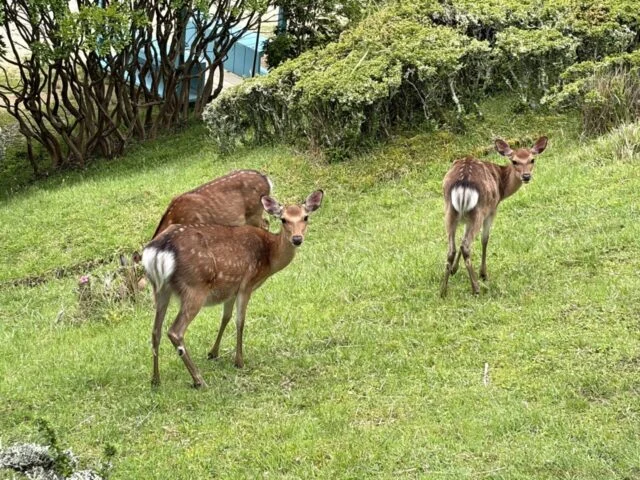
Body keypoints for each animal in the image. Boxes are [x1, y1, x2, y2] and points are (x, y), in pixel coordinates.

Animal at [142, 190, 324, 388]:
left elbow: (225, 318)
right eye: (283, 219)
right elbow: (240, 321)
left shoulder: (231, 288)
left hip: (160, 290)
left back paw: (155, 379)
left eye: (305, 217)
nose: (297, 239)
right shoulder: (247, 283)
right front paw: (239, 361)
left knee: (155, 331)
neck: (269, 256)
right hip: (195, 287)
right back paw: (199, 380)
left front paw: (213, 353)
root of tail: (159, 250)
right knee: (175, 331)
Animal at [440, 136, 548, 297]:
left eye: (532, 160)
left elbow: (461, 238)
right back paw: (476, 288)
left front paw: (454, 269)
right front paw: (483, 274)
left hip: (450, 211)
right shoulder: (492, 210)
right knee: (466, 245)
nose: (526, 176)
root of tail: (463, 183)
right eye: (514, 161)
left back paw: (443, 291)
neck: (502, 187)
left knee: (451, 248)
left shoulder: (466, 219)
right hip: (479, 211)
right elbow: (485, 239)